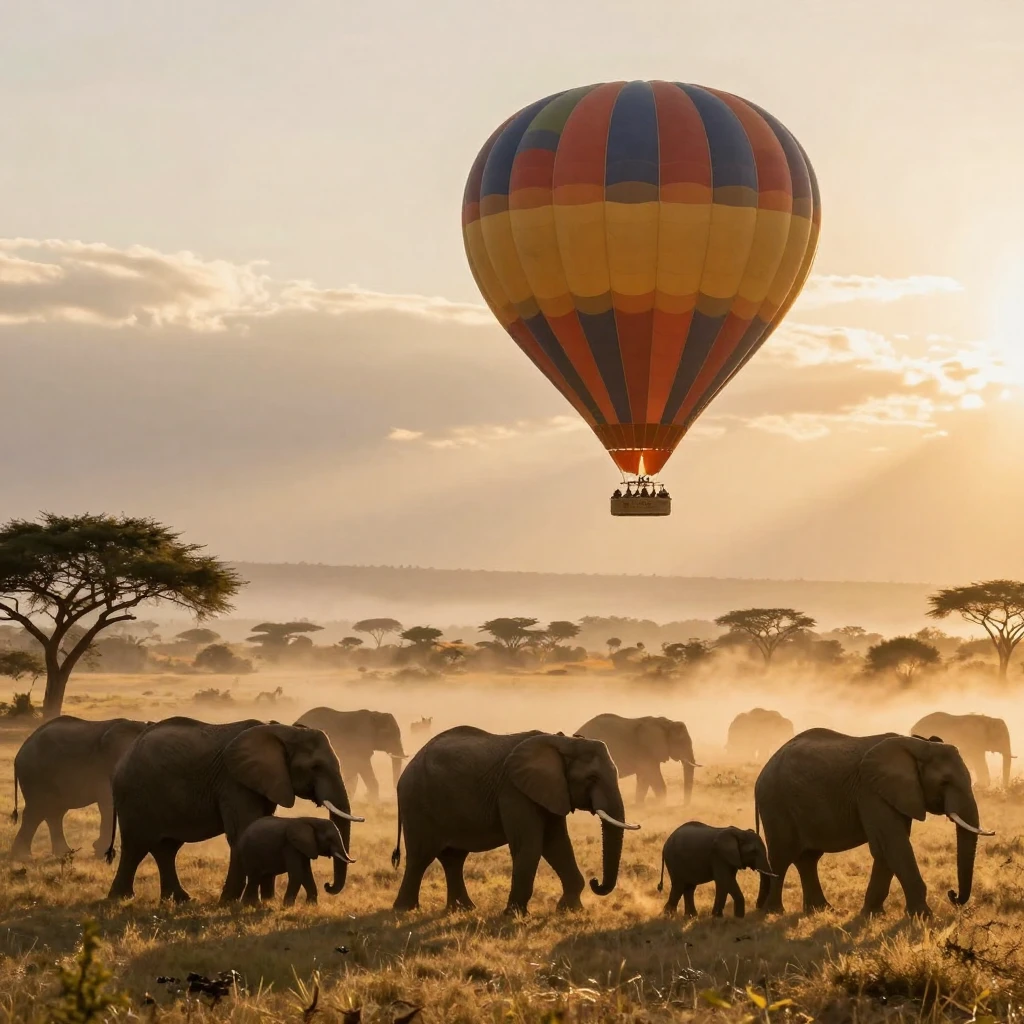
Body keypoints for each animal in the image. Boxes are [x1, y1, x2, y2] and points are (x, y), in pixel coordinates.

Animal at [11, 716, 148, 860]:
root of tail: (20, 751)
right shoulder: (105, 769)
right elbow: (108, 804)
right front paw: (101, 853)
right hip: (35, 775)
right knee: (37, 811)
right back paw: (23, 856)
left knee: (52, 812)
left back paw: (62, 853)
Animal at [105, 717, 362, 903]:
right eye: (315, 767)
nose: (329, 886)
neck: (282, 730)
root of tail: (125, 755)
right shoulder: (234, 782)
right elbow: (242, 831)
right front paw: (230, 901)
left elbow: (262, 826)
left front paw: (266, 900)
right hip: (135, 794)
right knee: (136, 846)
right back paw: (121, 898)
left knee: (166, 849)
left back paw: (179, 899)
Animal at [391, 726, 639, 915]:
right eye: (592, 778)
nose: (595, 881)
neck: (563, 742)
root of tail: (405, 773)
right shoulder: (514, 791)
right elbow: (530, 846)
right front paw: (514, 915)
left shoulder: (550, 791)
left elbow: (557, 844)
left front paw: (572, 910)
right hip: (418, 802)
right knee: (421, 857)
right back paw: (404, 910)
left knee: (453, 859)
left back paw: (463, 910)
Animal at [754, 728, 994, 917]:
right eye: (944, 782)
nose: (953, 895)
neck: (918, 745)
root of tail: (762, 772)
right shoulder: (871, 791)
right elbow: (893, 844)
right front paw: (923, 916)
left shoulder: (893, 794)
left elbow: (886, 849)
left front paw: (872, 914)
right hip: (775, 803)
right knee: (781, 857)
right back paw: (774, 912)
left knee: (807, 859)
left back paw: (821, 910)